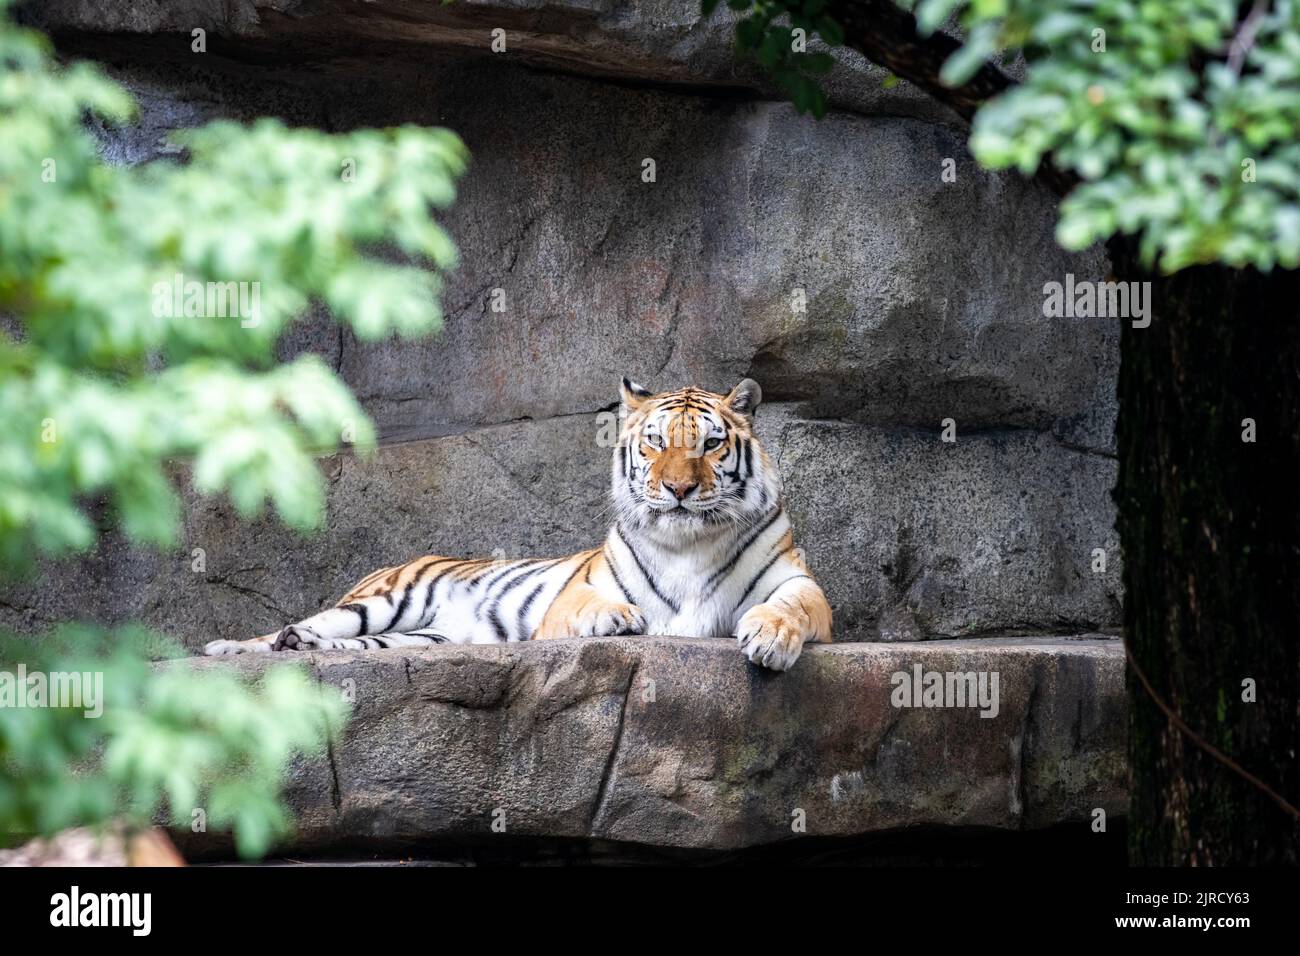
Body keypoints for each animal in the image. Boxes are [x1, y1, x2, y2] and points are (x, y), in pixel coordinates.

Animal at [203, 378, 832, 670]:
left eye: (710, 444)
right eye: (655, 444)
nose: (679, 489)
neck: (688, 543)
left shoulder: (797, 582)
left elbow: (792, 607)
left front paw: (770, 638)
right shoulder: (579, 591)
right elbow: (589, 604)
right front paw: (619, 620)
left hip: (412, 635)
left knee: (339, 643)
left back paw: (293, 646)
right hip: (381, 602)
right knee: (298, 627)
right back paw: (233, 647)